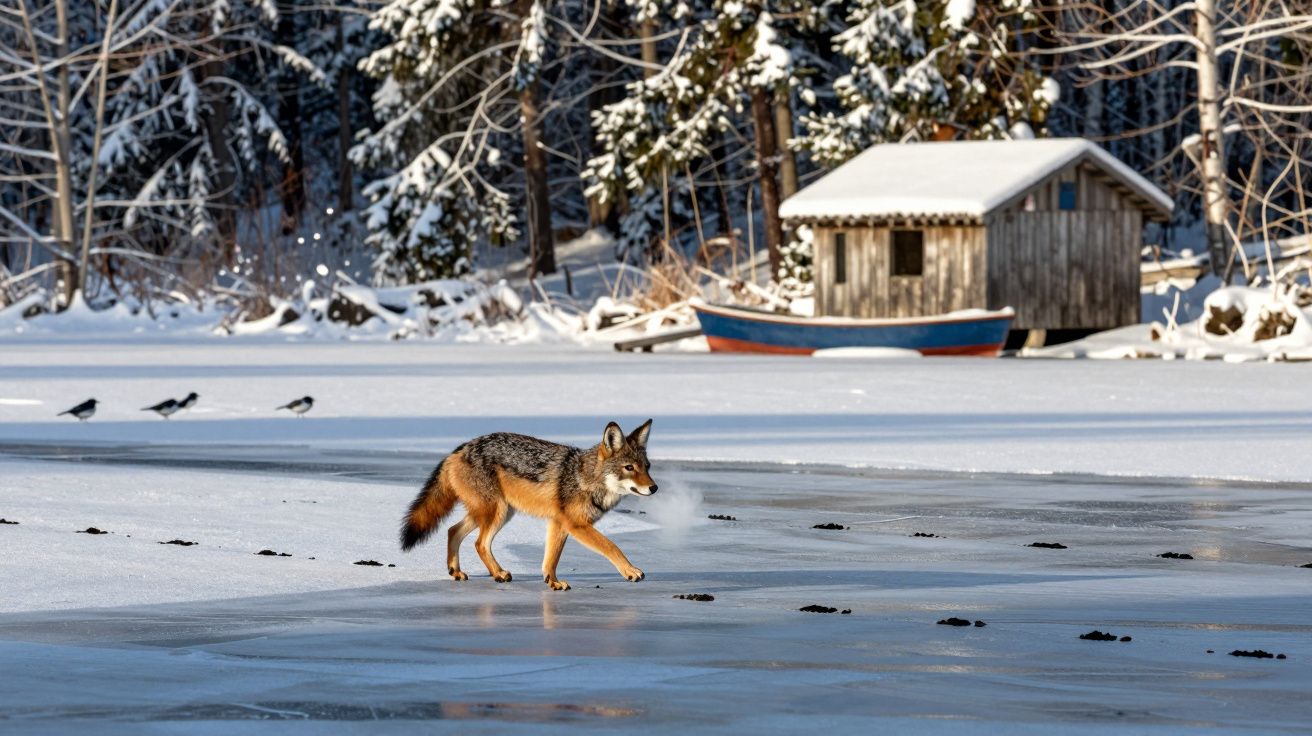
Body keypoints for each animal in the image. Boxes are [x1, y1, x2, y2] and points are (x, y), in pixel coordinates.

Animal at [399, 419, 658, 590]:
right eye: (629, 468)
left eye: (647, 467)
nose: (654, 488)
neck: (584, 478)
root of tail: (459, 449)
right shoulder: (576, 525)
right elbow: (612, 546)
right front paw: (630, 571)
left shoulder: (558, 524)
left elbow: (550, 560)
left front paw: (553, 582)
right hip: (497, 513)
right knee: (479, 543)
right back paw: (498, 574)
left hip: (494, 512)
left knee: (453, 531)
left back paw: (457, 571)